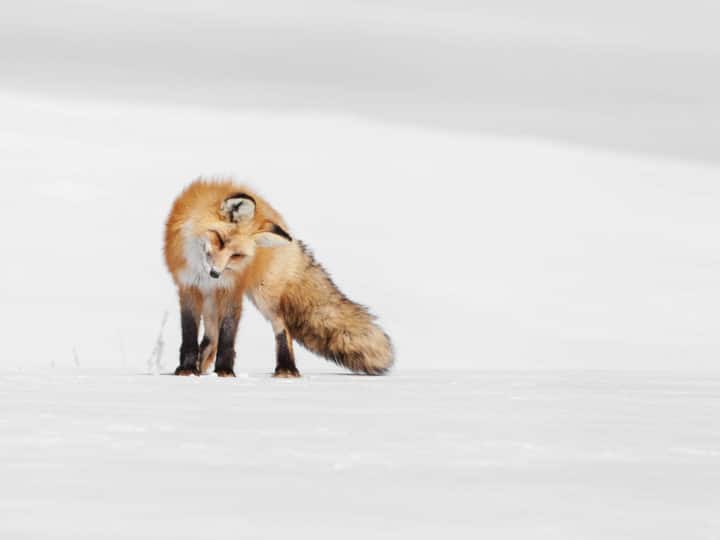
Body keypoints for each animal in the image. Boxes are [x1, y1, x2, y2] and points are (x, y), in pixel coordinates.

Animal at [164, 179, 394, 378]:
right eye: (219, 239)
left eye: (236, 255)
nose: (215, 274)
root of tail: (287, 230)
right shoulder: (188, 286)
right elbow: (189, 332)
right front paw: (187, 369)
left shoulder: (233, 289)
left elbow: (228, 335)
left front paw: (225, 371)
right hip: (213, 301)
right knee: (211, 337)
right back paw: (201, 367)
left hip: (264, 295)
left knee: (282, 326)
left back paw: (286, 369)